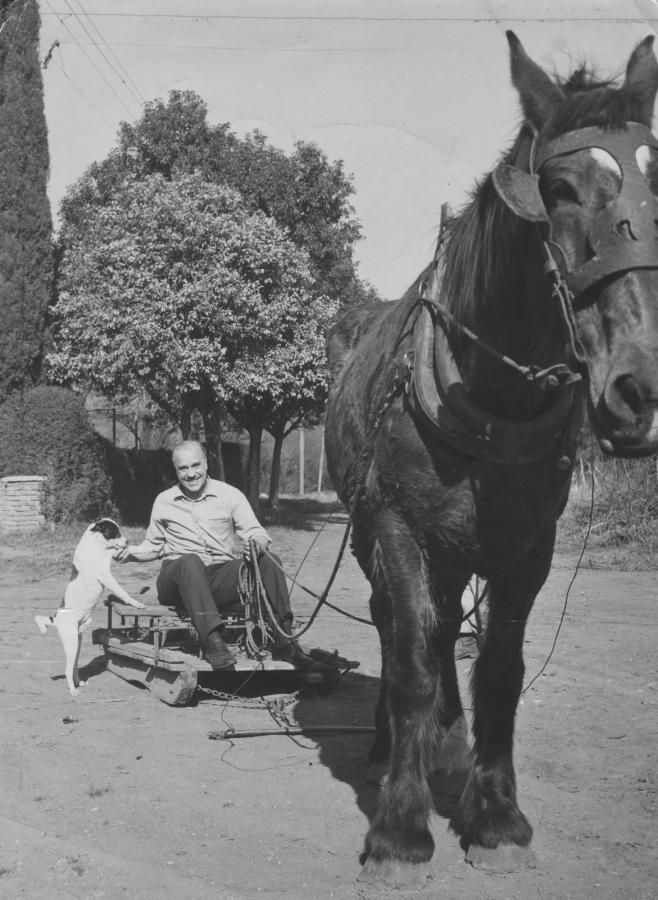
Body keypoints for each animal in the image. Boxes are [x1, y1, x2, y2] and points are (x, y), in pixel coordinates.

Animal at [35, 520, 145, 696]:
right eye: (115, 533)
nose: (128, 541)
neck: (95, 544)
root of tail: (56, 619)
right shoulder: (106, 576)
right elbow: (123, 592)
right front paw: (136, 603)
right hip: (71, 643)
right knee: (67, 669)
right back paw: (73, 691)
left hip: (77, 642)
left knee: (74, 665)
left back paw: (79, 682)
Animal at [326, 31, 656, 884]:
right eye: (561, 189)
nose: (642, 387)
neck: (488, 398)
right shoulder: (399, 530)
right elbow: (410, 659)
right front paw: (400, 829)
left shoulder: (526, 546)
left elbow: (500, 668)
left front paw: (497, 817)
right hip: (377, 538)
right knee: (398, 630)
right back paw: (394, 745)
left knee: (446, 633)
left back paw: (444, 740)